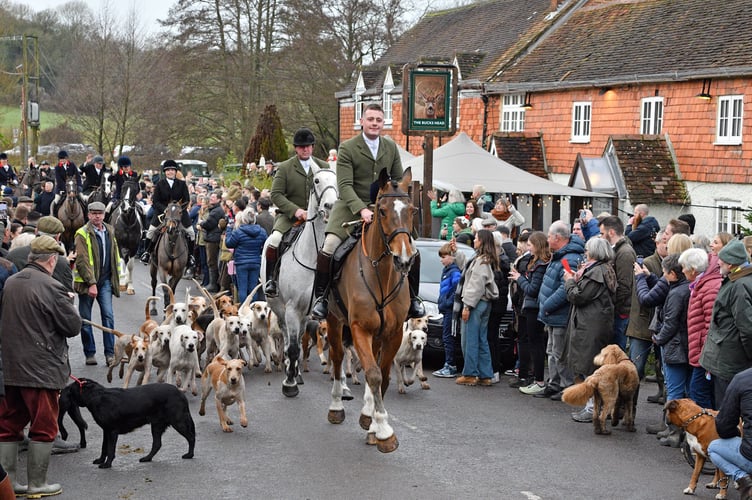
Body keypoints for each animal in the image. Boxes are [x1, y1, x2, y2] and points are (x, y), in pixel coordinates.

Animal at [64, 378, 195, 468]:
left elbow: (110, 450)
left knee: (191, 437)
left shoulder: (112, 431)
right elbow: (104, 448)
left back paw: (189, 455)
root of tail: (180, 393)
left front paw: (107, 464)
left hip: (178, 422)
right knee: (157, 444)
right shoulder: (106, 430)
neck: (97, 396)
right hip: (157, 425)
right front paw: (100, 460)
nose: (63, 392)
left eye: (70, 390)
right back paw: (147, 458)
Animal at [262, 166, 338, 396]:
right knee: (288, 337)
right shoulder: (292, 308)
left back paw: (296, 372)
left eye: (337, 180)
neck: (313, 257)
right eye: (317, 180)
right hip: (279, 307)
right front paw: (289, 384)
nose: (330, 206)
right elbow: (293, 347)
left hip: (304, 314)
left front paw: (294, 375)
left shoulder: (314, 311)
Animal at [324, 168, 418, 454]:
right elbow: (374, 374)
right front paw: (385, 431)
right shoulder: (359, 329)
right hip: (334, 321)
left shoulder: (394, 333)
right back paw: (336, 407)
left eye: (412, 210)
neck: (382, 274)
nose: (404, 259)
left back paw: (367, 414)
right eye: (382, 211)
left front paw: (374, 424)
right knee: (337, 358)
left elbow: (383, 375)